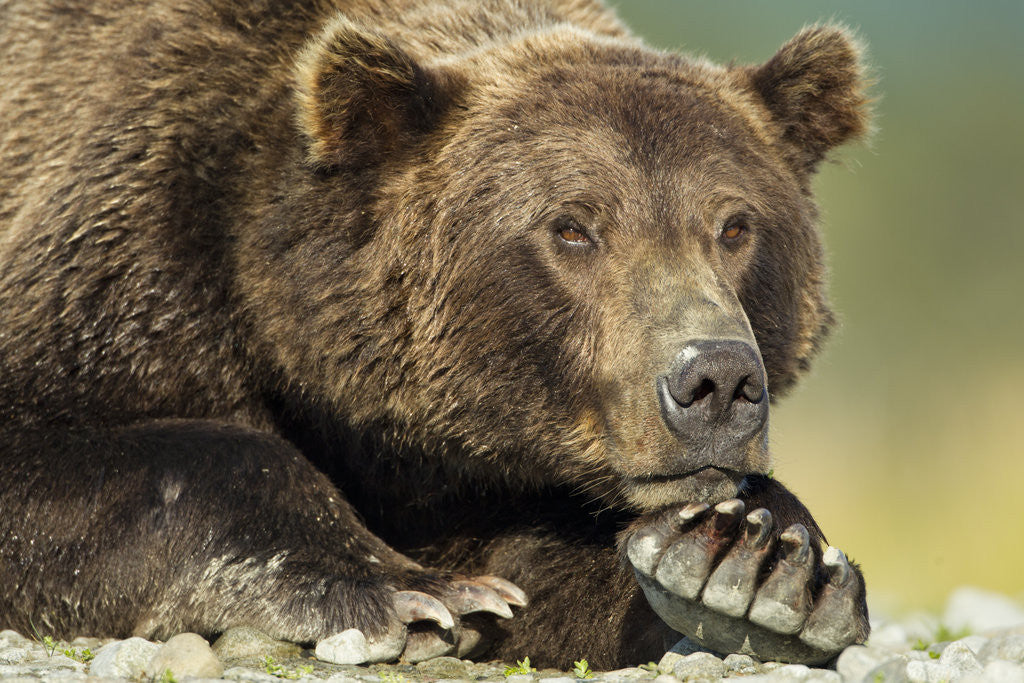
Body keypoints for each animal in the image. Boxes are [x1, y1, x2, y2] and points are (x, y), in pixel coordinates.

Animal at [0, 0, 870, 669]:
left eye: (735, 225)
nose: (715, 379)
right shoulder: (131, 256)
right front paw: (414, 592)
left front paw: (756, 560)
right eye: (572, 226)